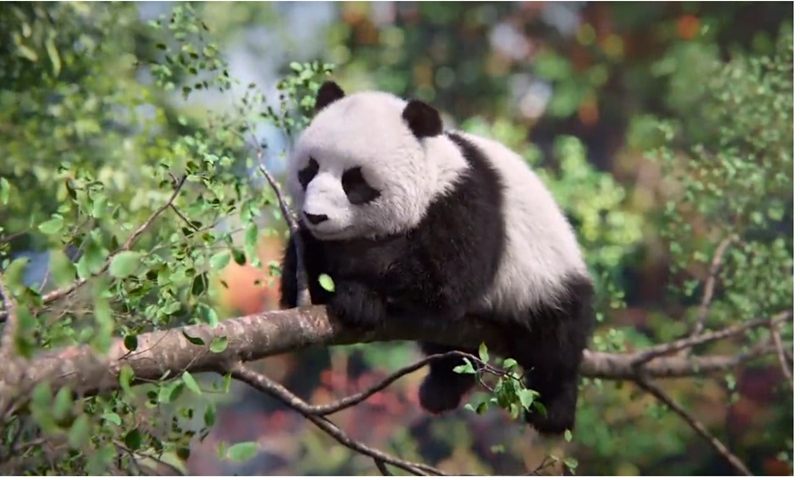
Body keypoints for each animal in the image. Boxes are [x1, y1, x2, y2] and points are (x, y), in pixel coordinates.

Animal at [279, 81, 595, 435]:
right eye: (308, 171)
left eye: (355, 181)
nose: (316, 216)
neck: (433, 177)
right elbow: (299, 287)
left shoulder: (464, 202)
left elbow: (443, 280)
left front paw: (356, 288)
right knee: (451, 354)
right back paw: (441, 390)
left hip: (546, 274)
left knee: (556, 341)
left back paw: (553, 412)